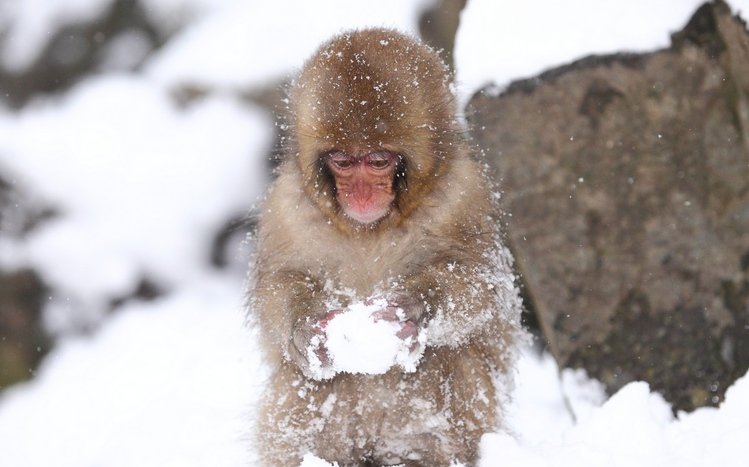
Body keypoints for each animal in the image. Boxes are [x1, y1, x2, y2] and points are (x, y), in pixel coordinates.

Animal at [249, 28, 523, 467]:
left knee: (455, 358)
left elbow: (482, 285)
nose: (360, 195)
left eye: (378, 161)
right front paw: (305, 327)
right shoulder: (286, 207)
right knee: (301, 383)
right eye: (343, 161)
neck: (370, 229)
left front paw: (415, 304)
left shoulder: (465, 196)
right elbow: (277, 285)